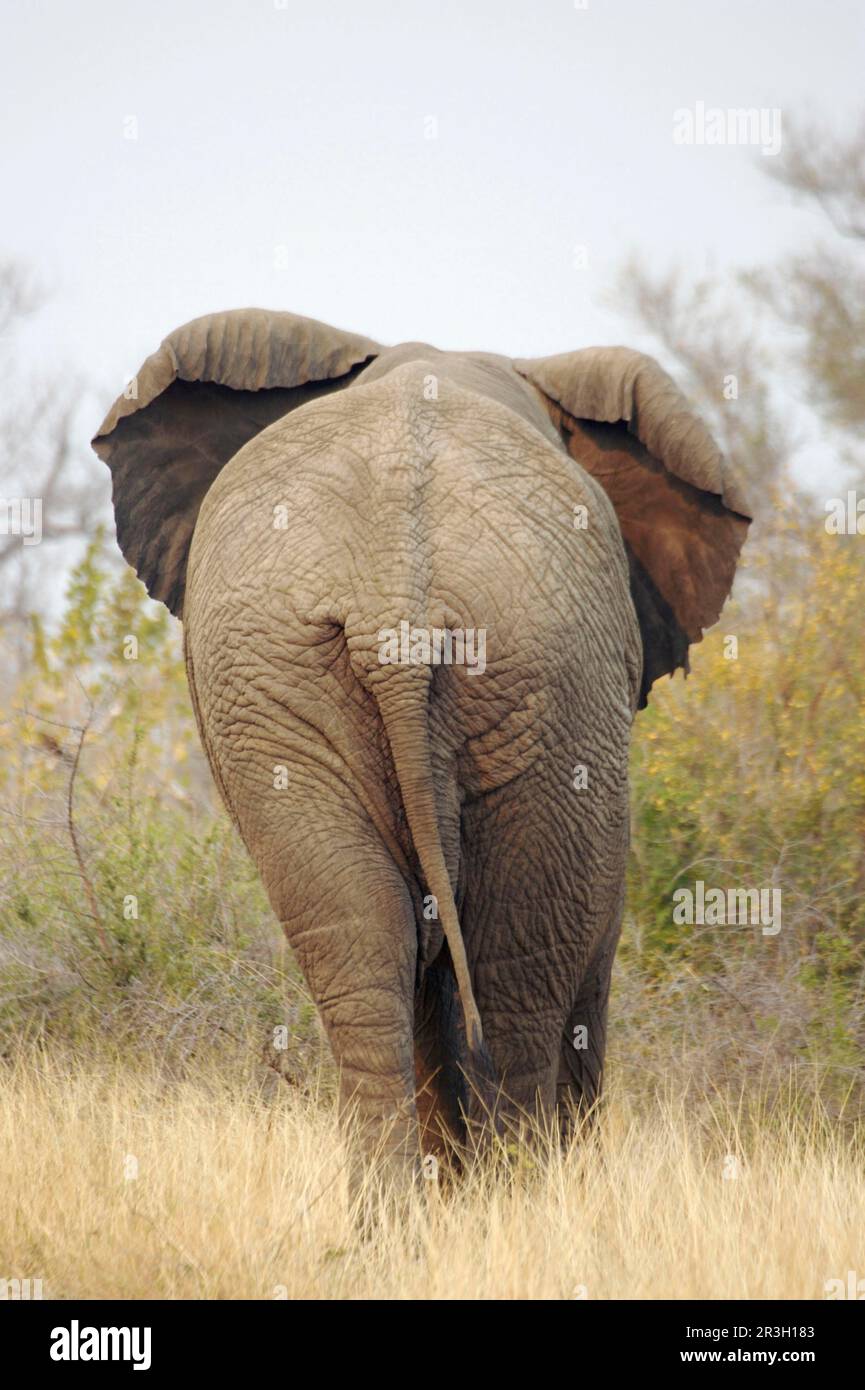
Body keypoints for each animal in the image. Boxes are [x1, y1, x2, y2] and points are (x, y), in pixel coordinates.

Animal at [93, 308, 749, 1201]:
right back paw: (516, 1202)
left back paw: (401, 1213)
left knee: (364, 940)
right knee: (513, 962)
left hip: (298, 679)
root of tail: (392, 591)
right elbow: (588, 939)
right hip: (532, 676)